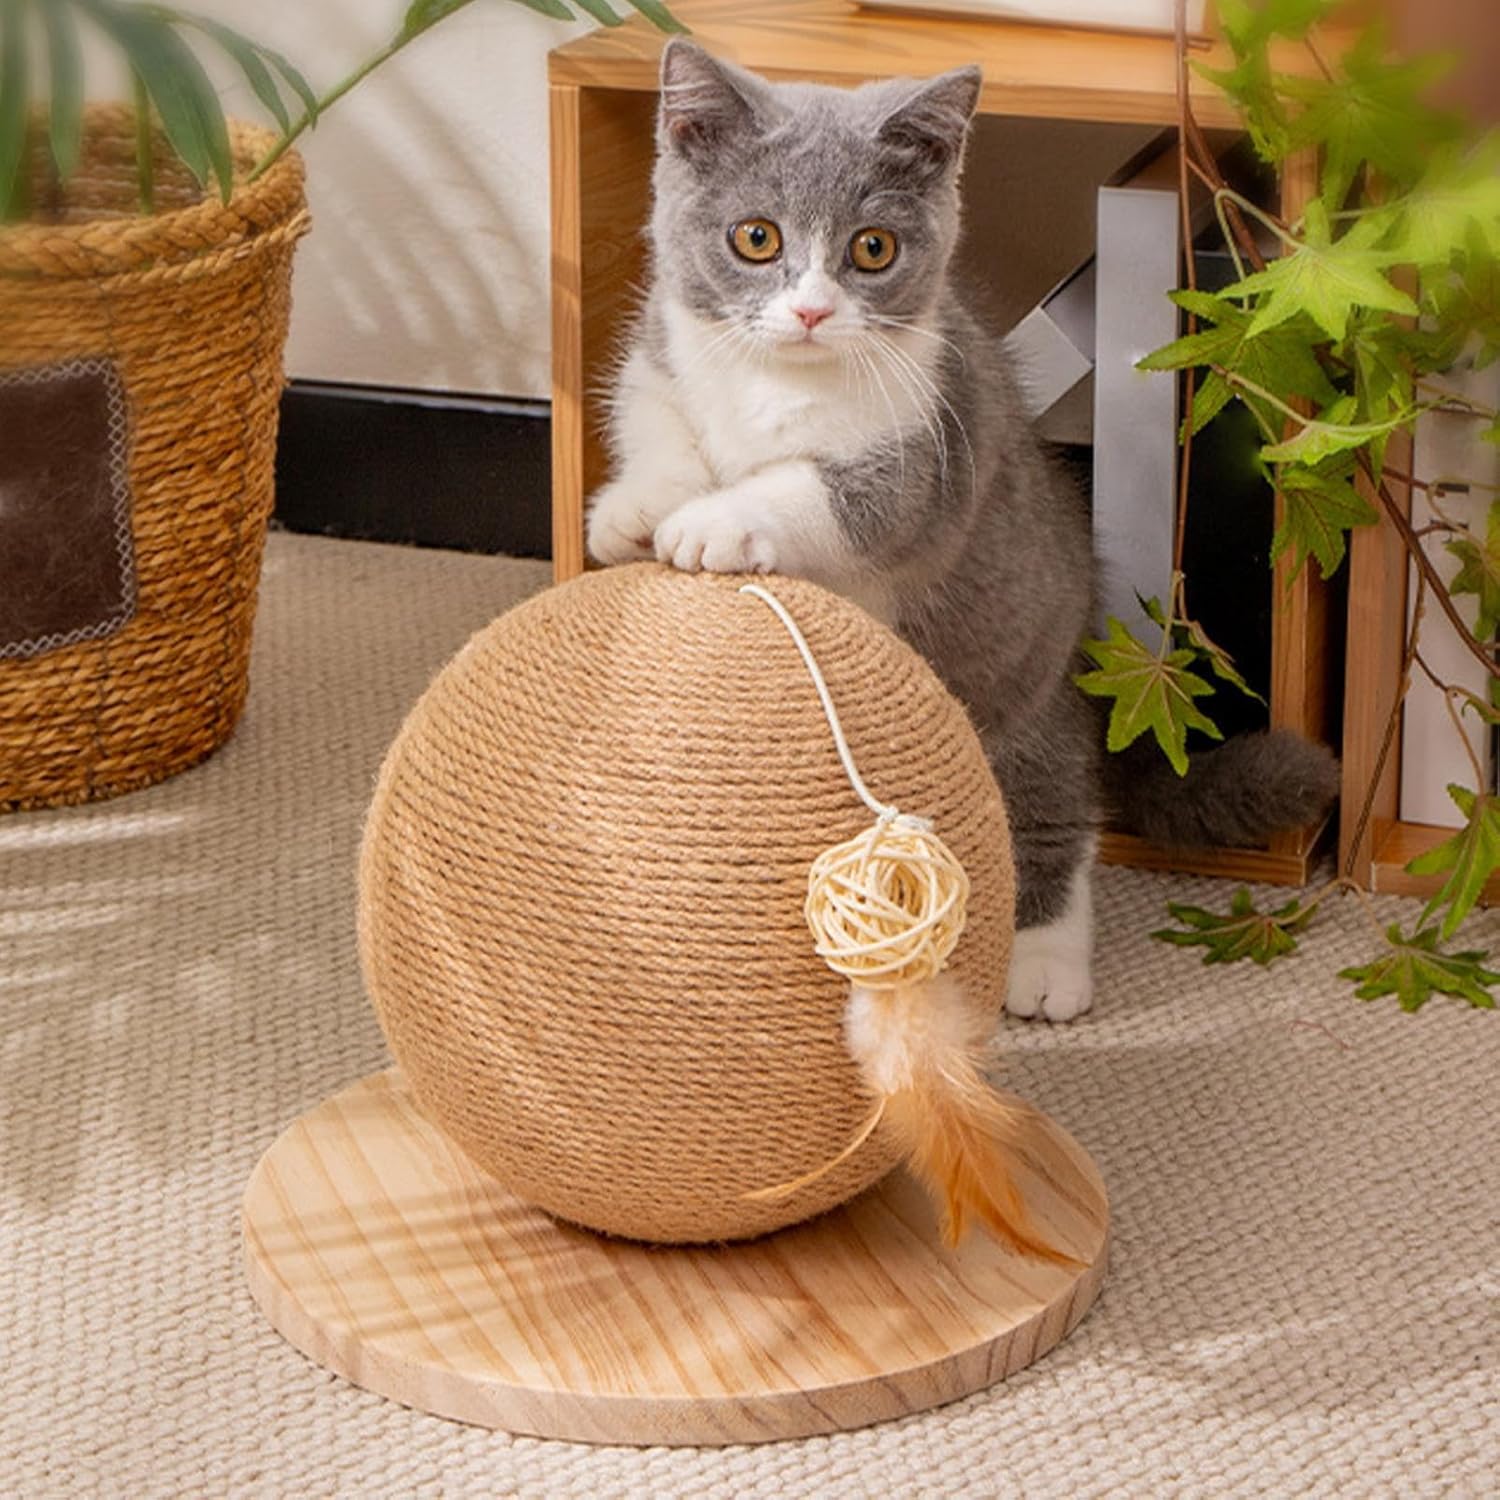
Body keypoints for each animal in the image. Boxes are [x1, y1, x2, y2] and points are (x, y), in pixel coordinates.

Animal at [587, 40, 1339, 1022]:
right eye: (756, 237)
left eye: (872, 249)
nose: (812, 311)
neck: (776, 383)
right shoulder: (662, 361)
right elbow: (657, 421)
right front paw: (635, 511)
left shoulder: (933, 452)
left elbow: (824, 495)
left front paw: (714, 522)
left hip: (1020, 688)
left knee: (1052, 805)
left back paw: (1045, 964)